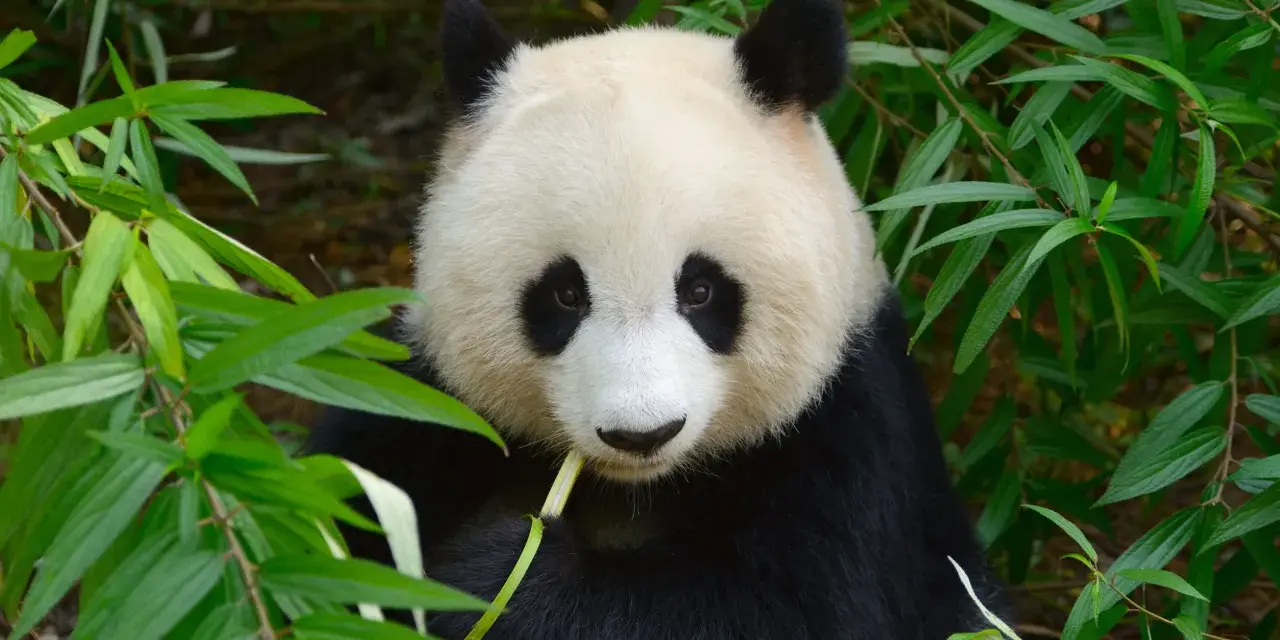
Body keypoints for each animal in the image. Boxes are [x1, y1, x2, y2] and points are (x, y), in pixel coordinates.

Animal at [304, 0, 1010, 637]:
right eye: (565, 295)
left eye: (700, 290)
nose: (642, 434)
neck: (633, 488)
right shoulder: (424, 405)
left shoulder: (848, 436)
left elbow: (777, 608)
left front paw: (497, 577)